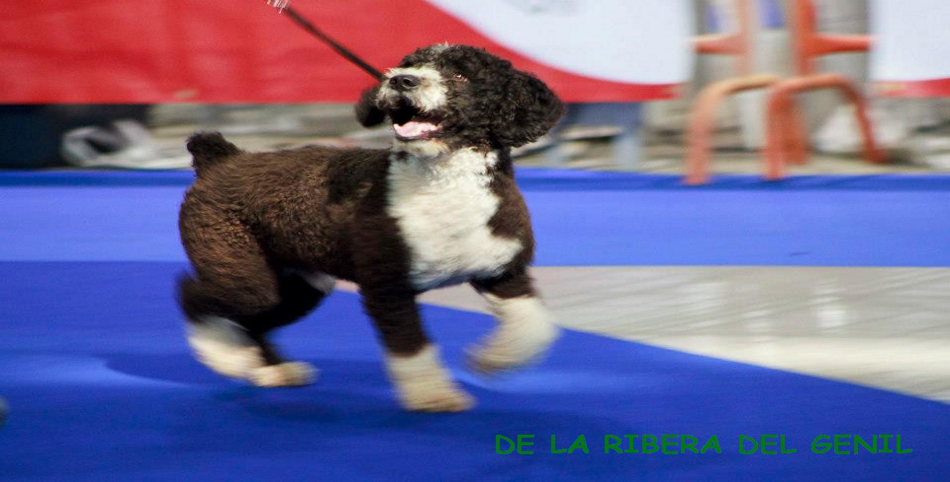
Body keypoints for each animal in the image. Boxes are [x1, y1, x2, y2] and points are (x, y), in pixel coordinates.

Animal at [178, 45, 564, 412]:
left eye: (460, 74)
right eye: (409, 63)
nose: (402, 80)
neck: (443, 184)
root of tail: (221, 159)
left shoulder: (502, 271)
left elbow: (535, 324)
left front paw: (495, 358)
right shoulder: (387, 285)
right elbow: (412, 347)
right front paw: (433, 395)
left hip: (301, 284)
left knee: (252, 321)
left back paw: (273, 370)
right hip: (239, 269)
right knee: (193, 294)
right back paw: (224, 356)